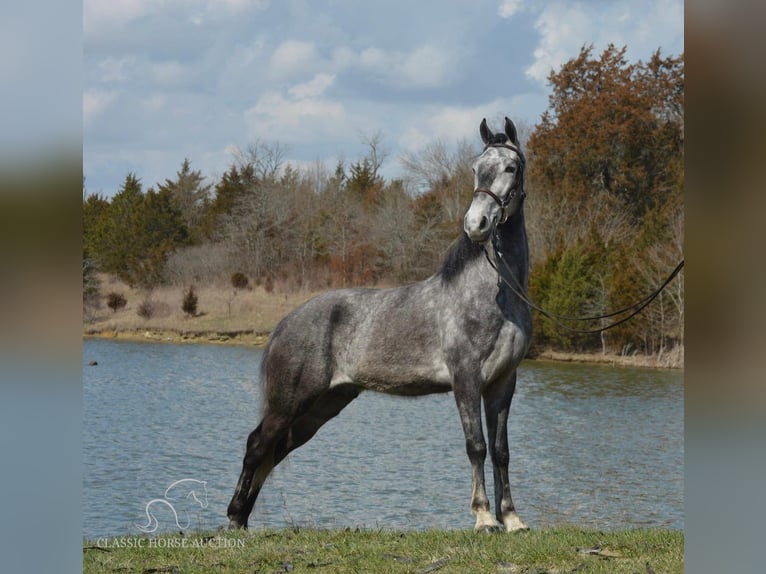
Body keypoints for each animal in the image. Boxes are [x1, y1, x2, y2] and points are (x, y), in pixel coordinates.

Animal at [228, 117, 536, 536]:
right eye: (475, 169)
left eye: (510, 167)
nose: (476, 224)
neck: (493, 294)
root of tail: (286, 324)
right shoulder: (466, 379)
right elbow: (476, 446)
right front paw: (485, 518)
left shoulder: (503, 383)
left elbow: (502, 451)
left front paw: (513, 519)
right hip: (289, 402)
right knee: (256, 445)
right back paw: (234, 517)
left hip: (321, 408)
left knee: (273, 450)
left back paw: (242, 519)